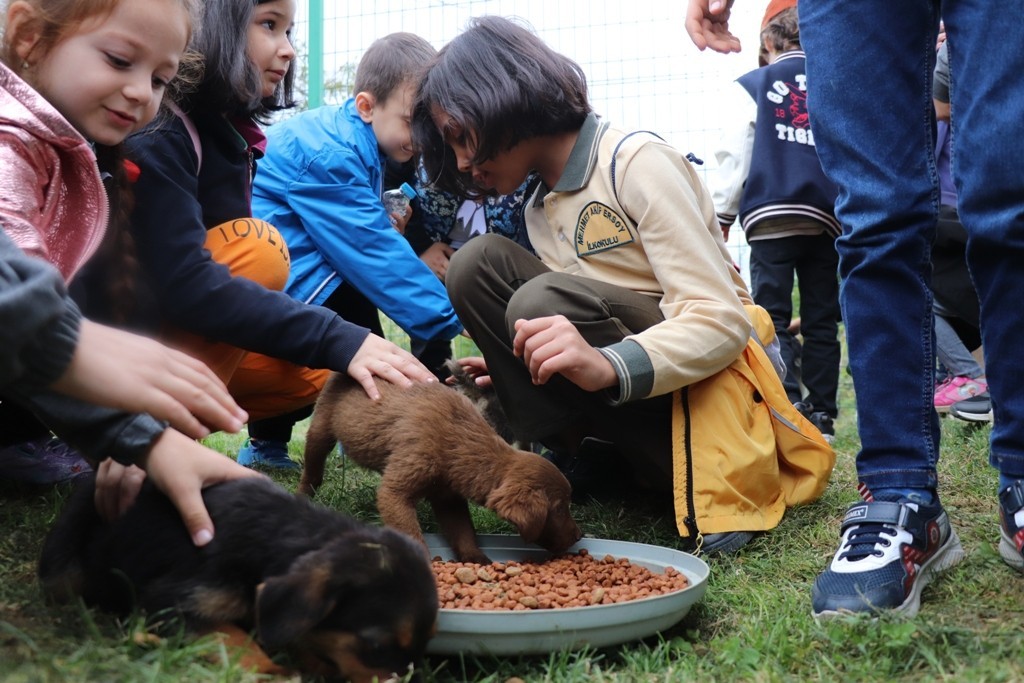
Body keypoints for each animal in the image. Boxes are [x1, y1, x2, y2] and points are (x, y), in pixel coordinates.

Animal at [299, 374, 581, 561]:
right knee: (312, 468)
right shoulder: (396, 492)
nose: (579, 536)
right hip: (321, 427)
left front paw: (476, 559)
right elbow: (410, 532)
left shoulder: (448, 496)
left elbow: (463, 530)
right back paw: (303, 497)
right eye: (558, 509)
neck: (458, 438)